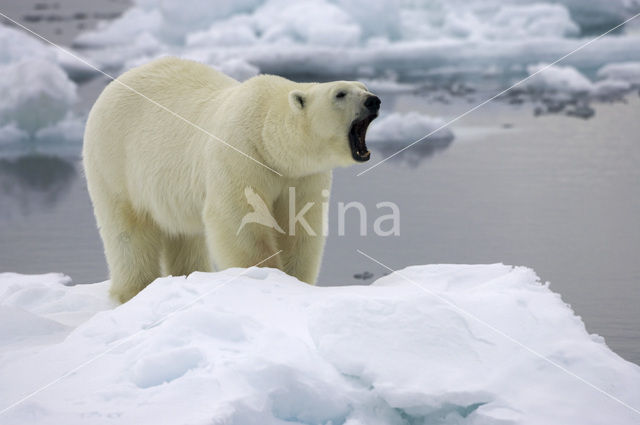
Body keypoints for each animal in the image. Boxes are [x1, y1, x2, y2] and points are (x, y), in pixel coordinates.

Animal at [82, 57, 378, 302]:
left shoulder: (301, 176)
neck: (266, 136)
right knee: (128, 232)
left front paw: (295, 280)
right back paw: (134, 290)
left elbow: (299, 224)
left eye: (363, 86)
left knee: (184, 235)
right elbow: (240, 221)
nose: (373, 100)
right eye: (340, 93)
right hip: (114, 162)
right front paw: (267, 276)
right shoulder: (241, 156)